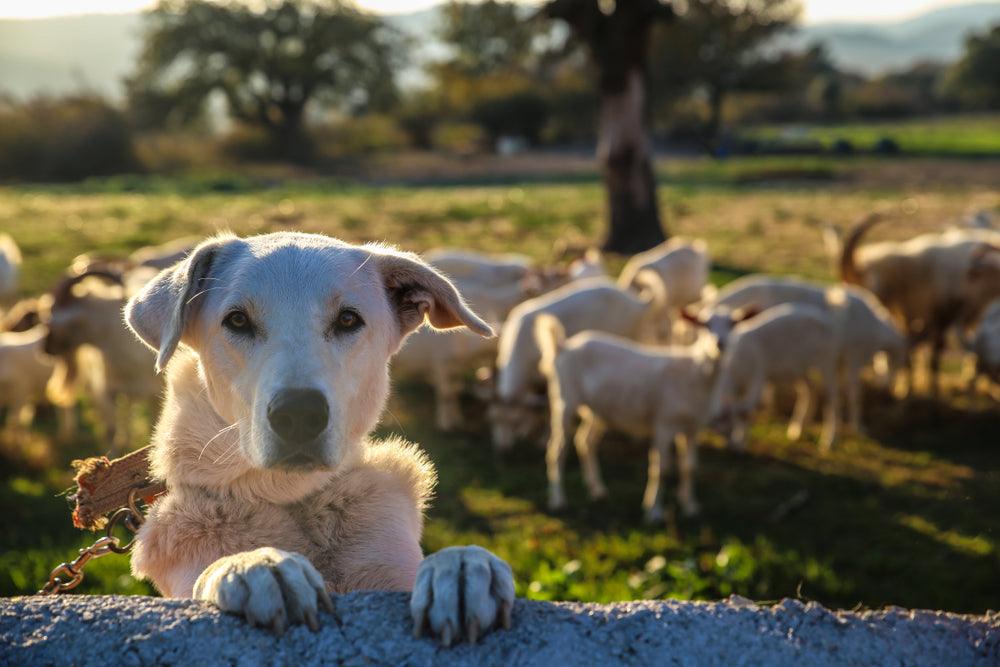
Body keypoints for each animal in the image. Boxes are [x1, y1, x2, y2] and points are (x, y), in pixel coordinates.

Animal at [125, 232, 516, 644]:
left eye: (348, 319)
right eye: (237, 320)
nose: (299, 415)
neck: (292, 497)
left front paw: (463, 567)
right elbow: (211, 571)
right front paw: (255, 564)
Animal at [536, 314, 716, 520]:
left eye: (732, 323)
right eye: (706, 326)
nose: (720, 343)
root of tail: (563, 346)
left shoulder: (693, 427)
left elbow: (690, 467)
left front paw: (690, 506)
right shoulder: (663, 422)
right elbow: (662, 469)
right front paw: (654, 511)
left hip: (597, 410)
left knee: (585, 441)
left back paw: (597, 490)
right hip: (564, 400)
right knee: (558, 450)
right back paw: (558, 501)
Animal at [708, 304, 840, 452]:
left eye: (732, 323)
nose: (719, 343)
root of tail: (825, 317)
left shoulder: (757, 377)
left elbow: (745, 411)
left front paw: (740, 444)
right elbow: (739, 410)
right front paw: (738, 440)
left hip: (827, 361)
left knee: (831, 397)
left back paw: (829, 440)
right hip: (800, 368)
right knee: (809, 391)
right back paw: (797, 430)